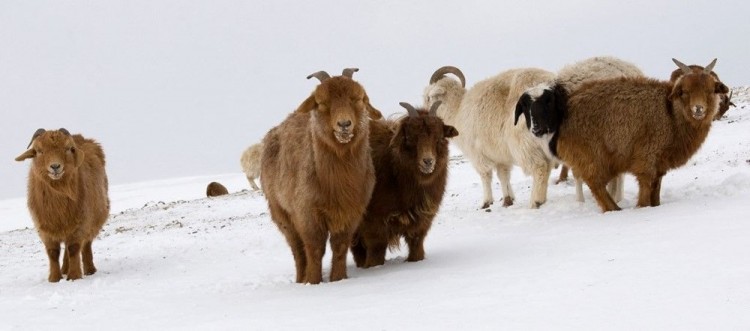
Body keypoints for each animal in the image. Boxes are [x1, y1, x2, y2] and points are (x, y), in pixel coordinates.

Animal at [14, 128, 109, 282]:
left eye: (68, 149)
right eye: (39, 151)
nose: (55, 166)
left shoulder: (80, 224)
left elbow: (74, 248)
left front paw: (74, 276)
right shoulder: (45, 228)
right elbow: (53, 252)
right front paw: (54, 278)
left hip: (94, 218)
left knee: (86, 243)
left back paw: (89, 269)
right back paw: (64, 269)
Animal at [264, 68, 382, 286]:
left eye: (358, 99)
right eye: (321, 102)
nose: (344, 124)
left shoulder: (350, 212)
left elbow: (340, 246)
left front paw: (338, 279)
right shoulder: (307, 213)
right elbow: (314, 248)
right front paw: (313, 282)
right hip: (281, 214)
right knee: (297, 250)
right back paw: (300, 279)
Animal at [352, 102, 458, 270]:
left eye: (439, 137)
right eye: (410, 137)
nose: (428, 161)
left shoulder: (421, 222)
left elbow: (416, 245)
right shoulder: (373, 223)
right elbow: (376, 250)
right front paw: (374, 268)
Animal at [516, 58, 728, 213]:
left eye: (711, 90)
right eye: (684, 91)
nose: (698, 109)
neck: (670, 114)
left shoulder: (659, 164)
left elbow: (656, 191)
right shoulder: (646, 159)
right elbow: (645, 190)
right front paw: (642, 208)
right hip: (593, 157)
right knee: (595, 185)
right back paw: (614, 209)